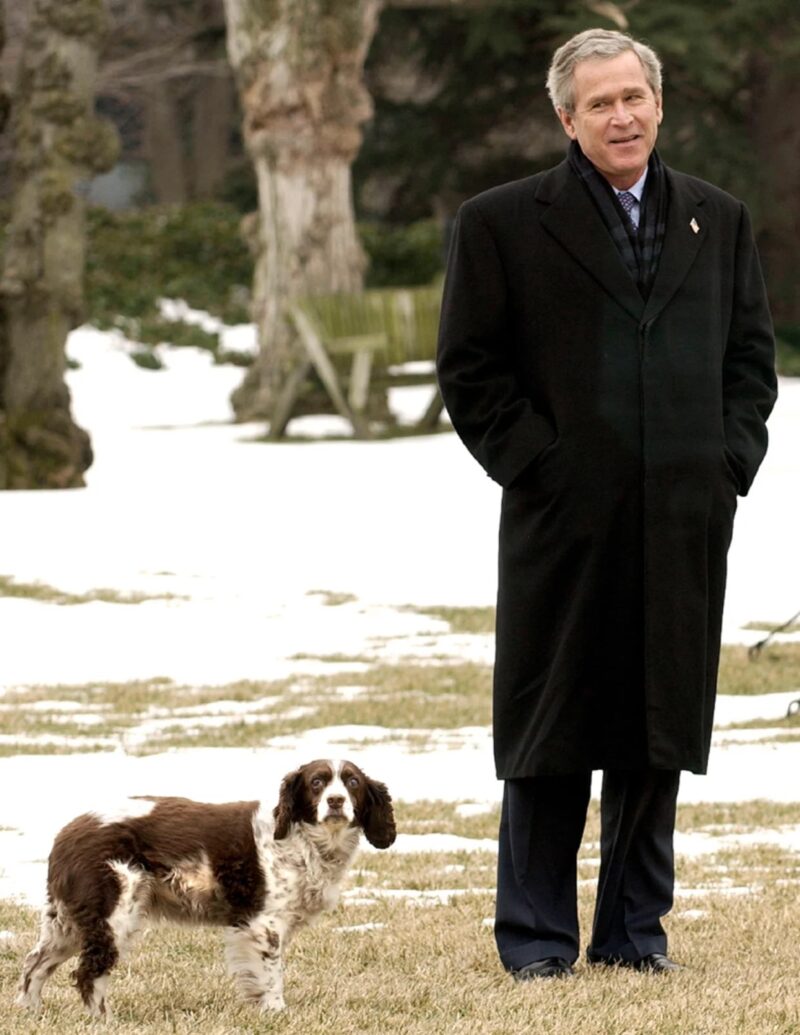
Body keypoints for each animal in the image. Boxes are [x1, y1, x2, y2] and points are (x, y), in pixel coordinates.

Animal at [17, 761, 395, 1018]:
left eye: (352, 782)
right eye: (317, 782)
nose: (336, 801)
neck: (301, 840)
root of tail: (68, 832)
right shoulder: (265, 924)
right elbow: (272, 976)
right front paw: (276, 1011)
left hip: (68, 923)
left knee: (34, 965)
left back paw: (30, 1013)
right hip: (114, 914)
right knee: (88, 973)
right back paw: (104, 1020)